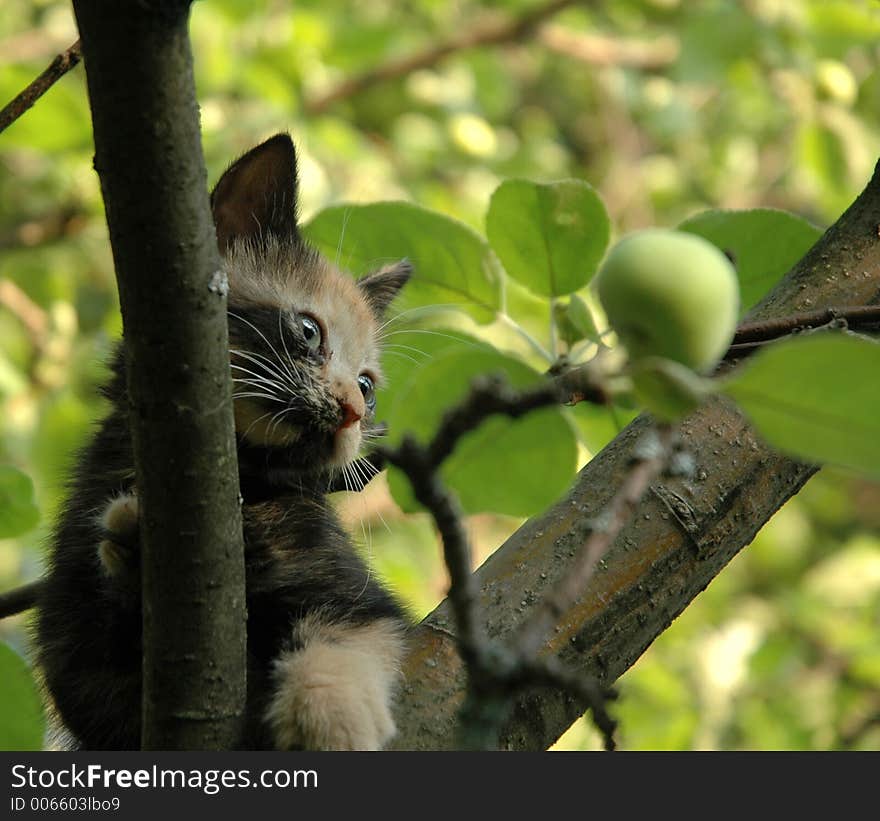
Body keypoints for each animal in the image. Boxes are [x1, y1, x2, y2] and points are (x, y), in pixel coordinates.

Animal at [34, 133, 412, 748]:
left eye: (367, 387)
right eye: (309, 331)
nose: (353, 413)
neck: (243, 488)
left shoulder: (352, 592)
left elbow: (347, 638)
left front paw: (333, 717)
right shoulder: (75, 654)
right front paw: (129, 541)